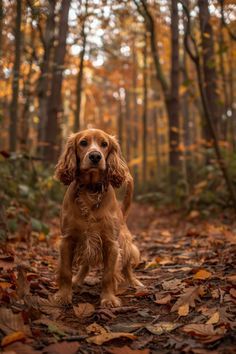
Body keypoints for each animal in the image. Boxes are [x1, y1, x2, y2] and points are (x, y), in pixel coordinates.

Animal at [54, 129, 142, 306]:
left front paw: (108, 299)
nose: (95, 156)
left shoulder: (111, 243)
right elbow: (65, 271)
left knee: (127, 267)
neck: (91, 190)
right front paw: (64, 295)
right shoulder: (67, 240)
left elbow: (108, 275)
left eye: (104, 144)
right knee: (85, 266)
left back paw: (135, 282)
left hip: (125, 244)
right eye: (83, 143)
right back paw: (77, 280)